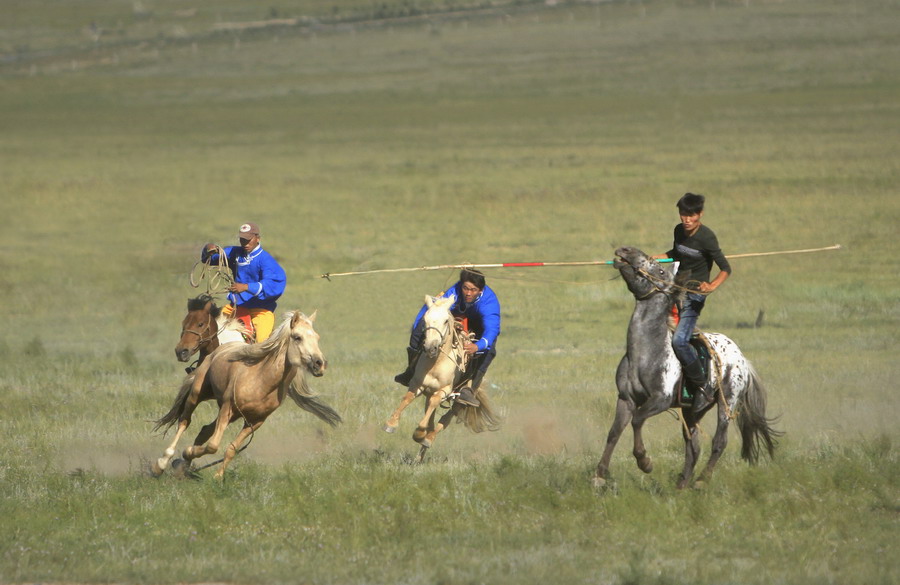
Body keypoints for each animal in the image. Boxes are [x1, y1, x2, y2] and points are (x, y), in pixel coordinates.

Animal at [153, 310, 340, 480]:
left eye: (317, 338)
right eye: (297, 337)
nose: (319, 364)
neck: (261, 380)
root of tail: (217, 350)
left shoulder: (255, 421)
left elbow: (231, 449)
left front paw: (217, 476)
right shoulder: (227, 408)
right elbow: (213, 445)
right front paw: (186, 452)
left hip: (232, 414)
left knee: (204, 430)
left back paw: (183, 468)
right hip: (198, 395)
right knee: (184, 421)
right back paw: (161, 464)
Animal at [382, 294, 500, 464]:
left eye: (445, 321)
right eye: (425, 319)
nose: (430, 348)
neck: (436, 363)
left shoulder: (444, 391)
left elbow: (434, 408)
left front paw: (419, 433)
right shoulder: (417, 384)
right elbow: (407, 398)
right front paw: (391, 424)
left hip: (458, 403)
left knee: (443, 421)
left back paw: (427, 439)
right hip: (429, 393)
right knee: (431, 418)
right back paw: (419, 456)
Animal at [592, 246, 780, 488]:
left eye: (661, 271)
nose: (626, 250)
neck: (645, 353)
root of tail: (742, 358)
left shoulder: (660, 399)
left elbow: (637, 420)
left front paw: (645, 462)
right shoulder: (626, 399)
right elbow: (614, 432)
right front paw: (600, 475)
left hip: (727, 401)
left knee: (719, 441)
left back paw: (701, 480)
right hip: (694, 410)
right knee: (693, 447)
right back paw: (682, 485)